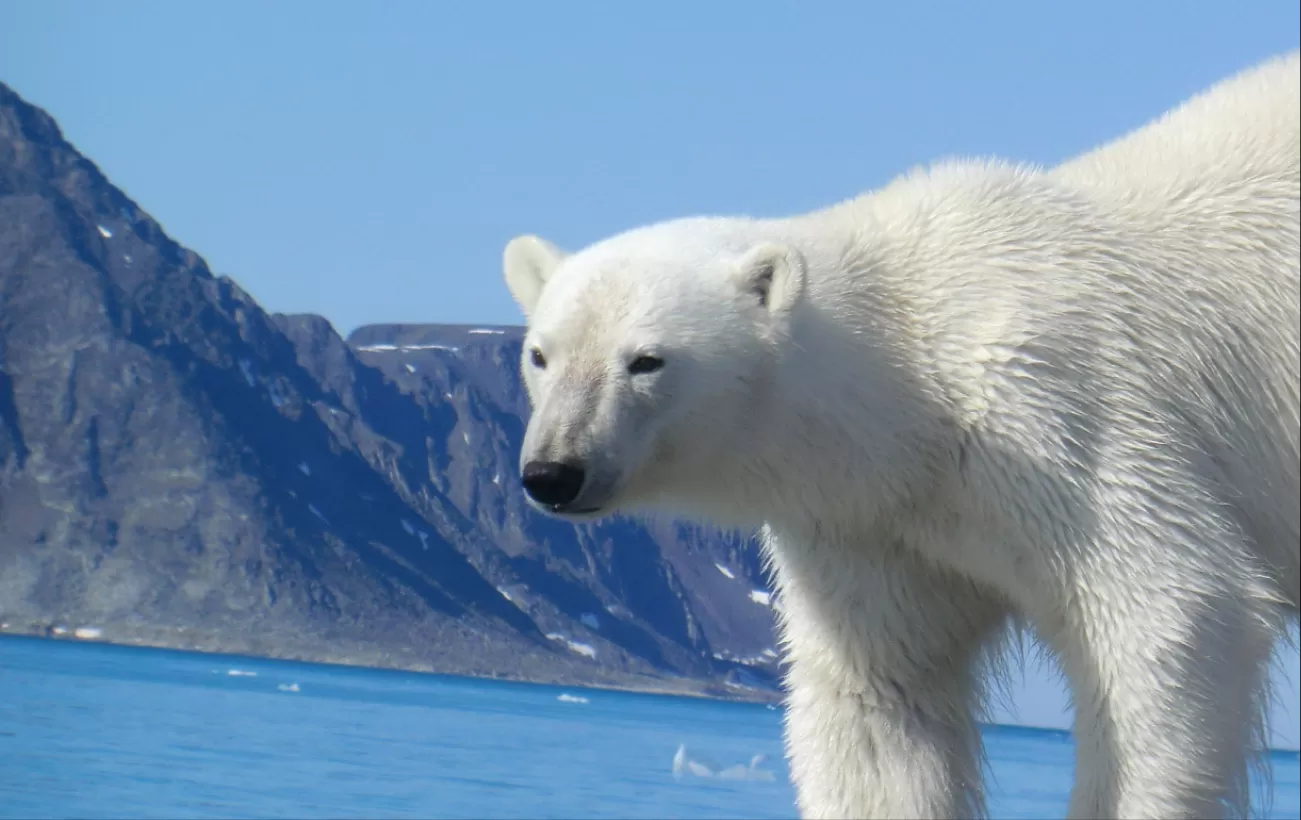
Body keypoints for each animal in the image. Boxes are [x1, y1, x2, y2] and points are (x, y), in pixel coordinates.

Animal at [499, 53, 1301, 820]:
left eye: (646, 360)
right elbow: (879, 698)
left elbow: (1171, 613)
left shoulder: (1062, 415)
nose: (553, 472)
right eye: (541, 354)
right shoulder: (870, 522)